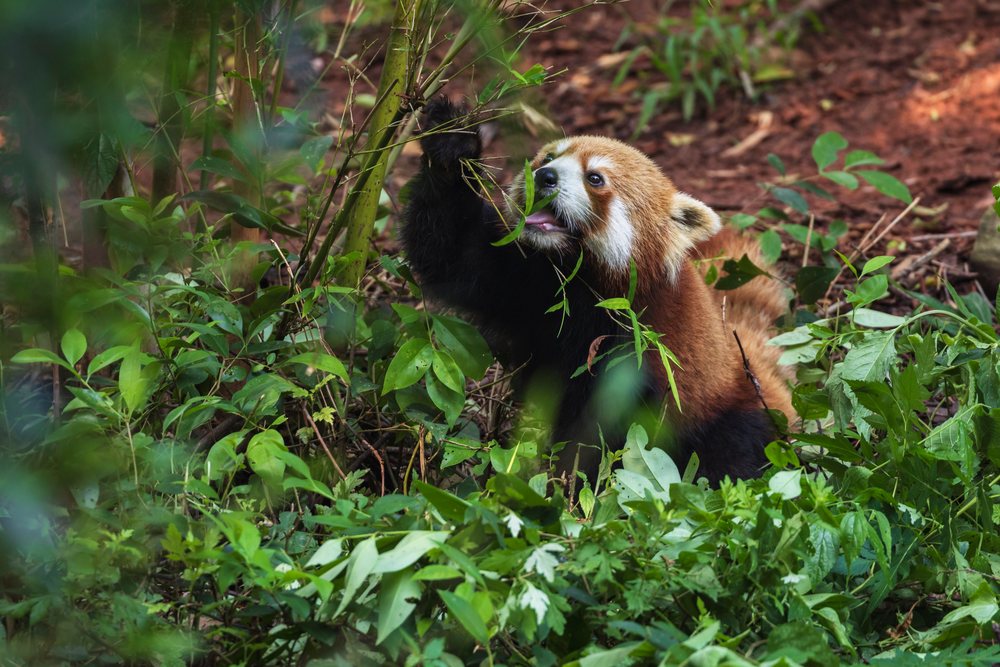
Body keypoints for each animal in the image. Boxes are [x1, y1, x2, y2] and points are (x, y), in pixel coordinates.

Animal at [401, 98, 794, 487]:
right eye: (548, 157)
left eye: (595, 178)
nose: (544, 176)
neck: (576, 282)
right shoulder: (518, 278)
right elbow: (451, 254)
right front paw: (452, 141)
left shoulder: (640, 344)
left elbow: (609, 429)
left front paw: (574, 479)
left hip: (733, 415)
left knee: (732, 458)